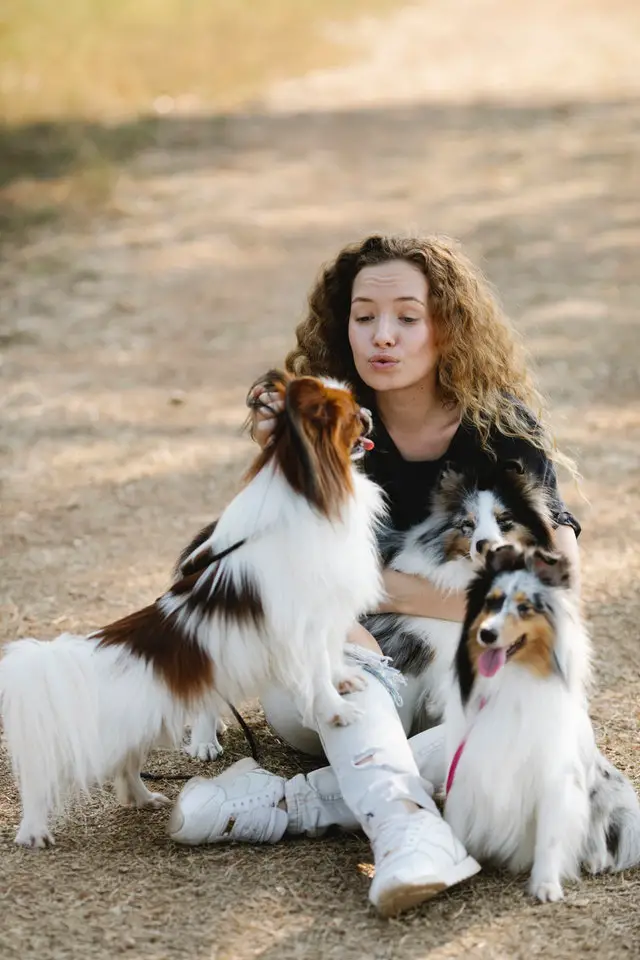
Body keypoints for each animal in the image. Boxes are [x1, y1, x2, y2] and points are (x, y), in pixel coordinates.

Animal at [0, 372, 384, 844]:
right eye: (350, 415)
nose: (369, 414)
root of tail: (109, 649)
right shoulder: (302, 628)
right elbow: (316, 677)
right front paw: (337, 711)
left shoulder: (326, 618)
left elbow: (330, 661)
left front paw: (345, 681)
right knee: (52, 780)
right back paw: (33, 830)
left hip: (142, 724)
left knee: (125, 765)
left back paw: (142, 799)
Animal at [442, 544, 640, 904]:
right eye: (491, 602)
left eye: (524, 608)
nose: (486, 633)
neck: (513, 679)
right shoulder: (465, 769)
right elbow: (457, 824)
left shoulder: (555, 777)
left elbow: (551, 836)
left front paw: (546, 885)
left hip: (604, 789)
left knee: (599, 831)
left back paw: (595, 859)